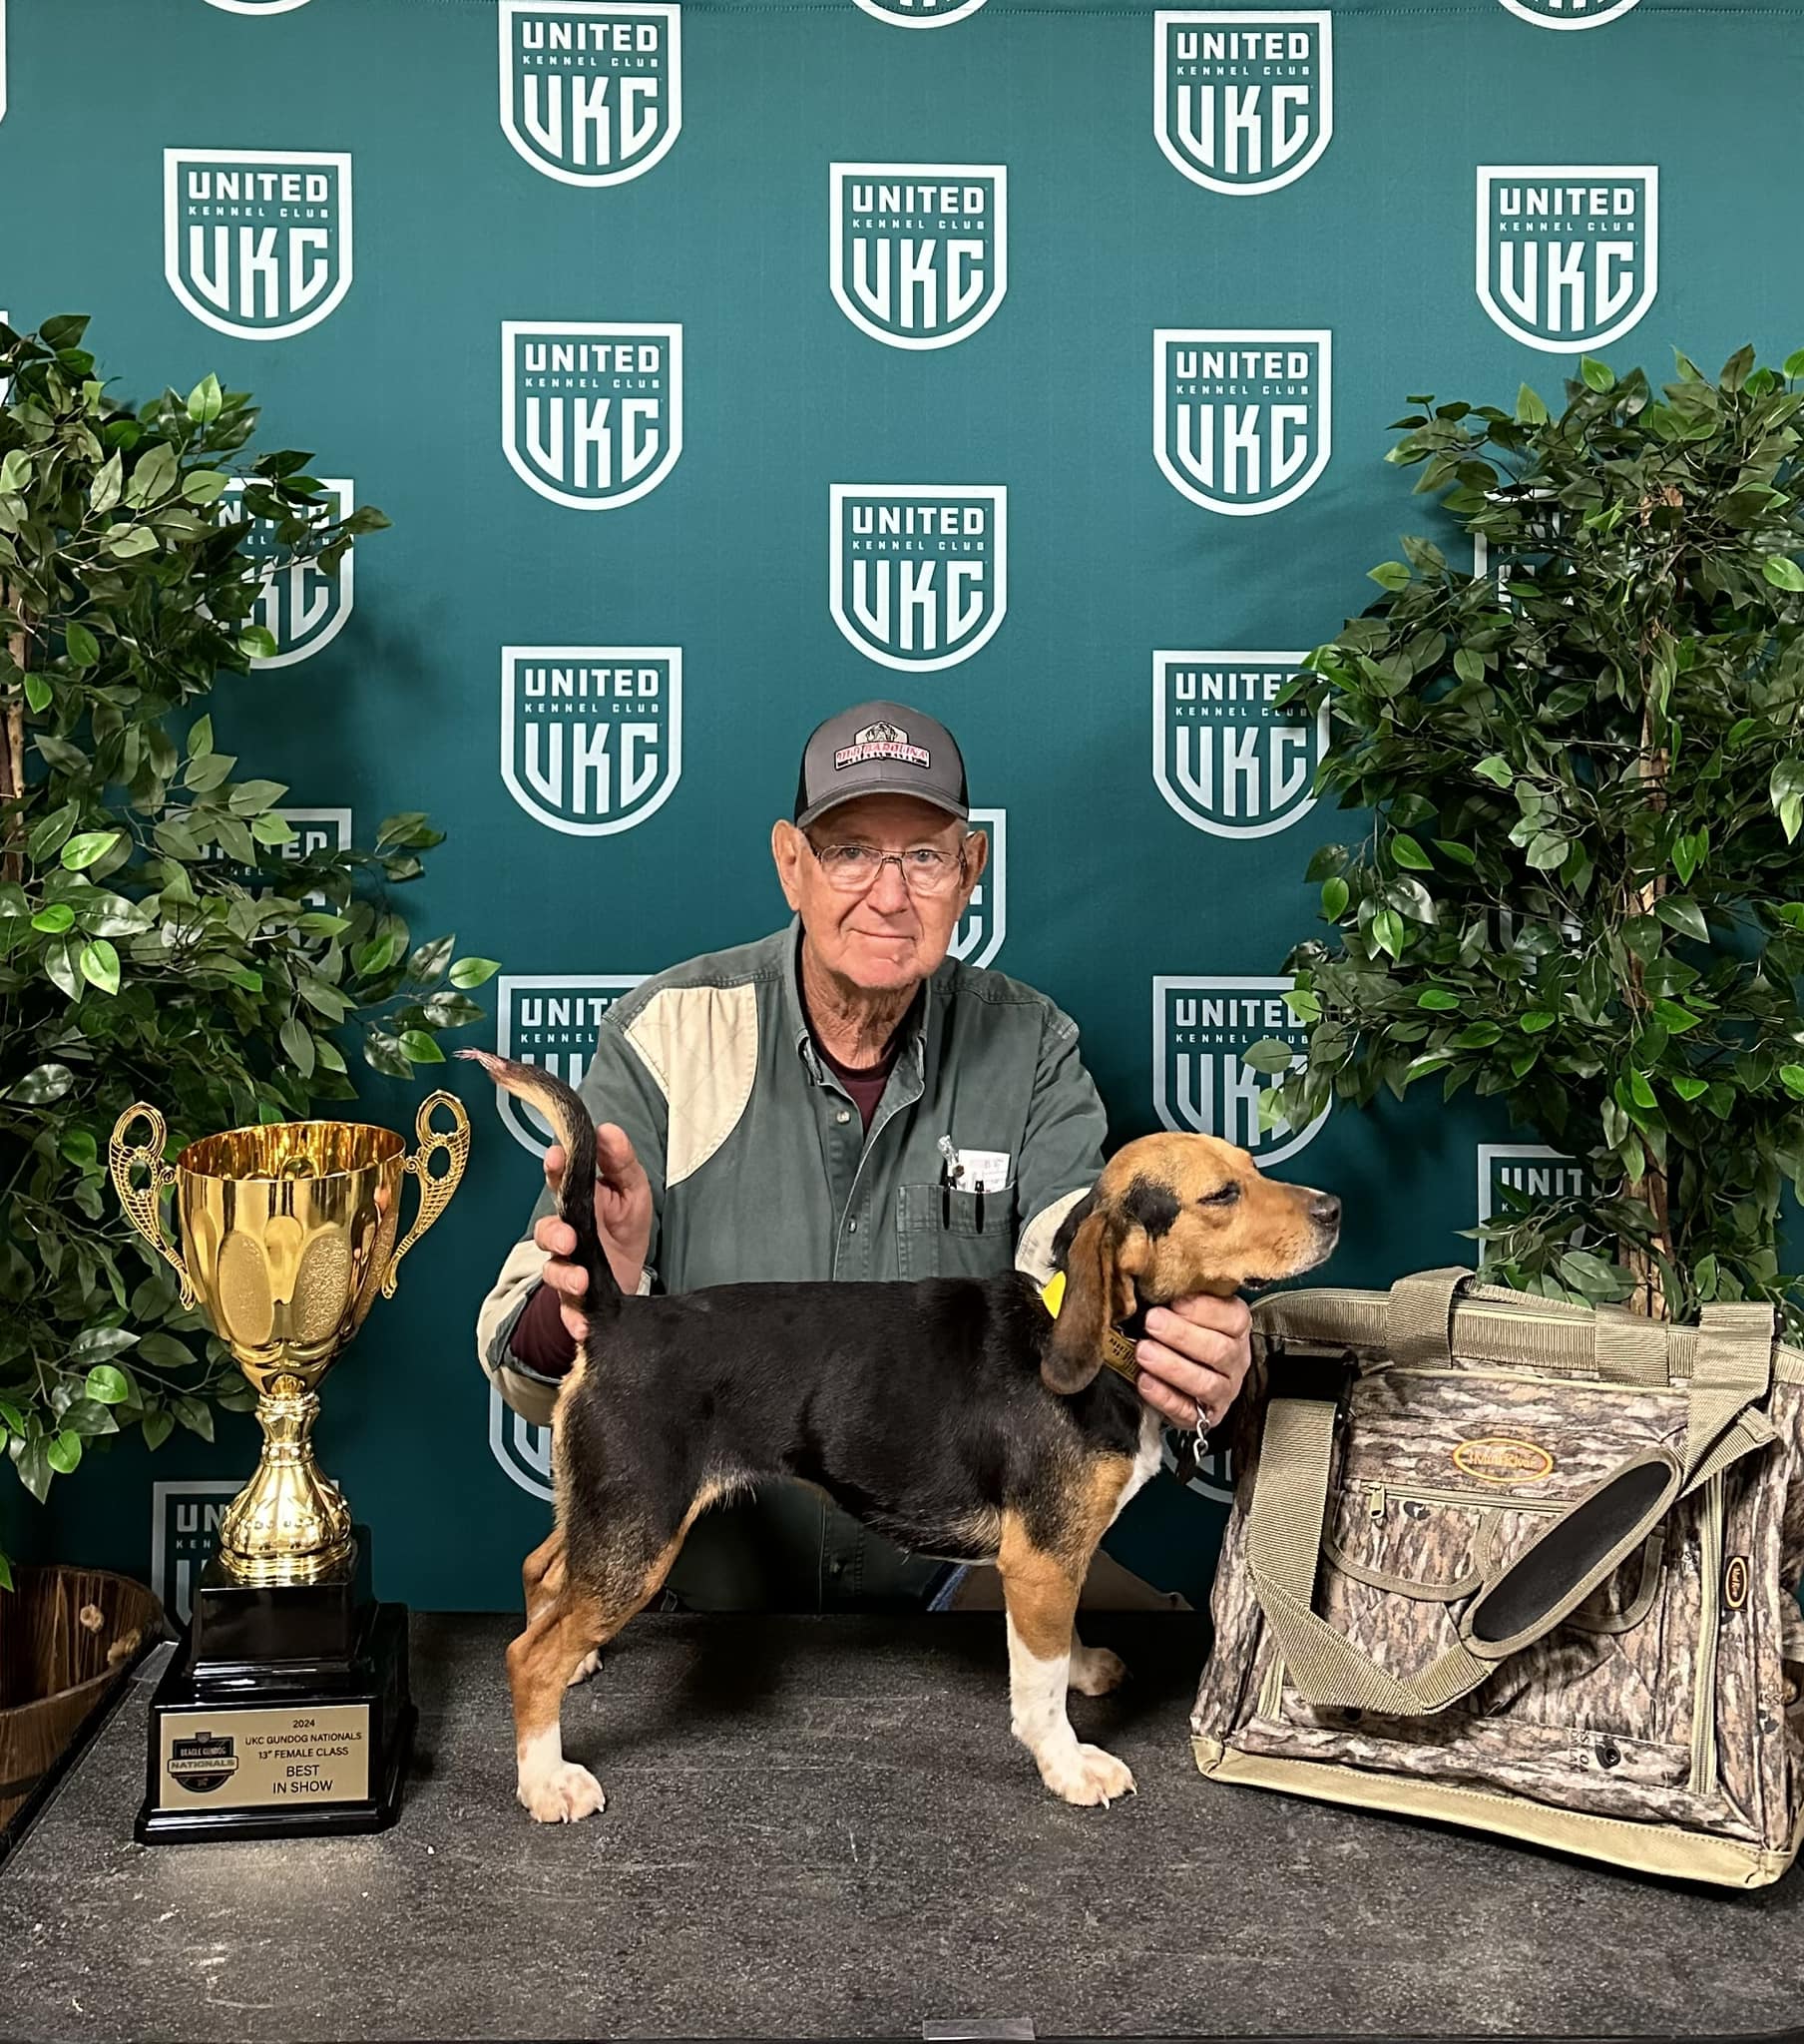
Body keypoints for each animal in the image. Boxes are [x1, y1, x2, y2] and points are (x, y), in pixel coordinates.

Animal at [465, 1054, 1340, 1822]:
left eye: (1252, 1166)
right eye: (1223, 1193)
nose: (1334, 1210)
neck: (1095, 1339)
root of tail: (617, 1314)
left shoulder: (1057, 1559)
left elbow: (1060, 1642)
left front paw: (1085, 1664)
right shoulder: (1041, 1557)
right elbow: (1038, 1684)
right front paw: (1068, 1764)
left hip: (606, 1512)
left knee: (542, 1570)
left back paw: (577, 1665)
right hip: (638, 1531)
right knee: (525, 1657)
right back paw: (547, 1779)